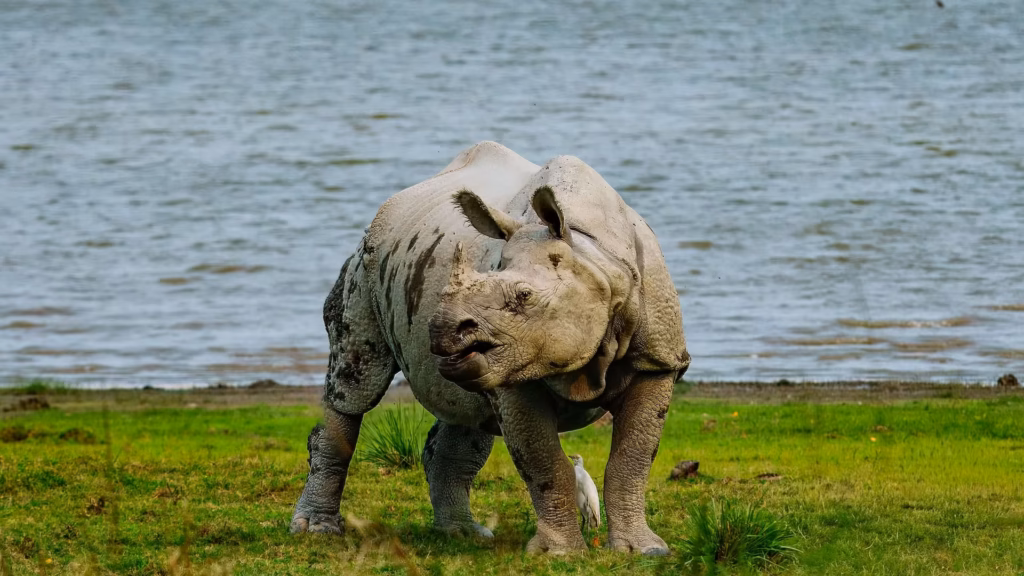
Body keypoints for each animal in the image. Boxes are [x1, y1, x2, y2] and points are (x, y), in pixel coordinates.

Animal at [290, 141, 689, 555]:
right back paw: (316, 529)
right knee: (355, 386)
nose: (441, 329)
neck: (596, 260)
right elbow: (545, 463)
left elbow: (631, 461)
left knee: (467, 413)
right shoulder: (515, 375)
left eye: (524, 296)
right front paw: (558, 553)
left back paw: (462, 533)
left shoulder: (657, 361)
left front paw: (644, 550)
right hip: (364, 265)